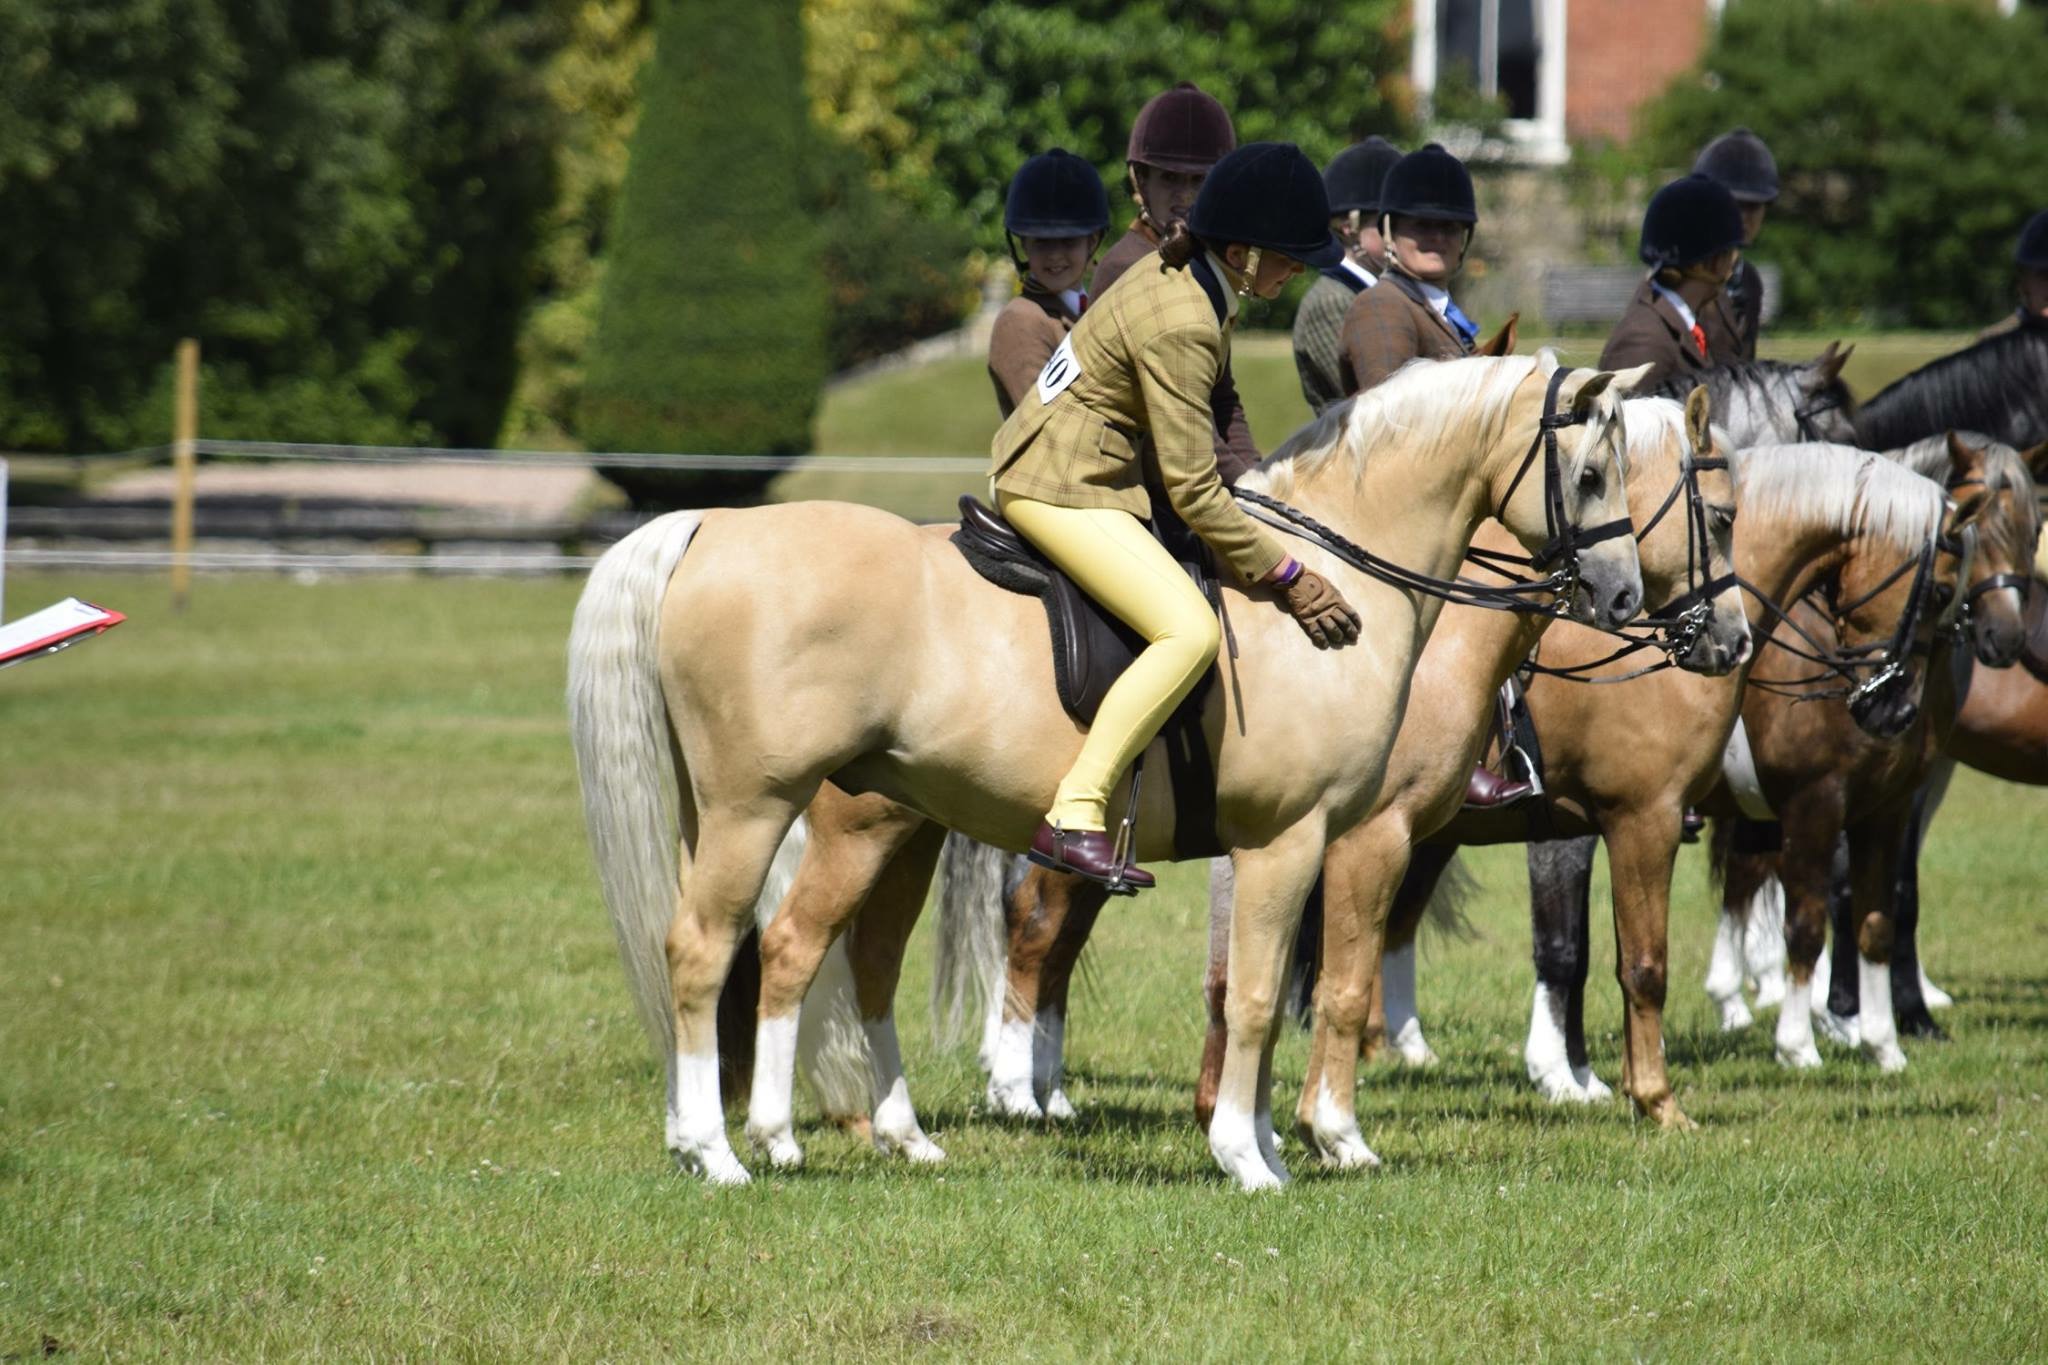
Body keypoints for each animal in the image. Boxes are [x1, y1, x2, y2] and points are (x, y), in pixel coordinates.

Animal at [566, 353, 1649, 1189]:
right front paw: (1263, 1154)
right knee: (709, 949)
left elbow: (1256, 993)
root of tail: (711, 524)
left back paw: (827, 1135)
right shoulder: (1296, 839)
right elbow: (1271, 996)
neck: (1330, 581)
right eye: (1595, 471)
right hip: (761, 811)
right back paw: (722, 1151)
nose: (1625, 597)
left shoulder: (1290, 846)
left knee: (834, 959)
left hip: (827, 818)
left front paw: (1266, 1143)